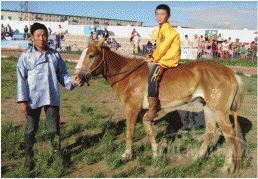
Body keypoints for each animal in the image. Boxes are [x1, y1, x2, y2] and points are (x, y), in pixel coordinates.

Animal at [71, 38, 245, 175]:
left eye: (91, 55)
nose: (74, 78)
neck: (128, 74)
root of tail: (232, 73)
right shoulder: (144, 112)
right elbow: (149, 131)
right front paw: (156, 153)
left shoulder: (132, 109)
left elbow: (129, 132)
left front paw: (126, 155)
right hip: (208, 107)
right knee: (210, 132)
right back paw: (197, 157)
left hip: (220, 111)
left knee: (230, 135)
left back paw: (226, 166)